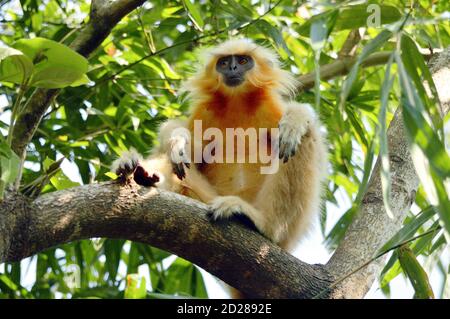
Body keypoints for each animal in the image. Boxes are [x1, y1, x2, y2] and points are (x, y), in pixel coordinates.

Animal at [110, 38, 328, 298]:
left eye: (243, 60)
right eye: (224, 63)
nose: (232, 68)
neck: (237, 103)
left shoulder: (271, 108)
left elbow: (305, 131)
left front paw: (295, 121)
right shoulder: (205, 113)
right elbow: (184, 149)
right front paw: (178, 143)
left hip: (287, 235)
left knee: (305, 139)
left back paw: (262, 224)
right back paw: (141, 172)